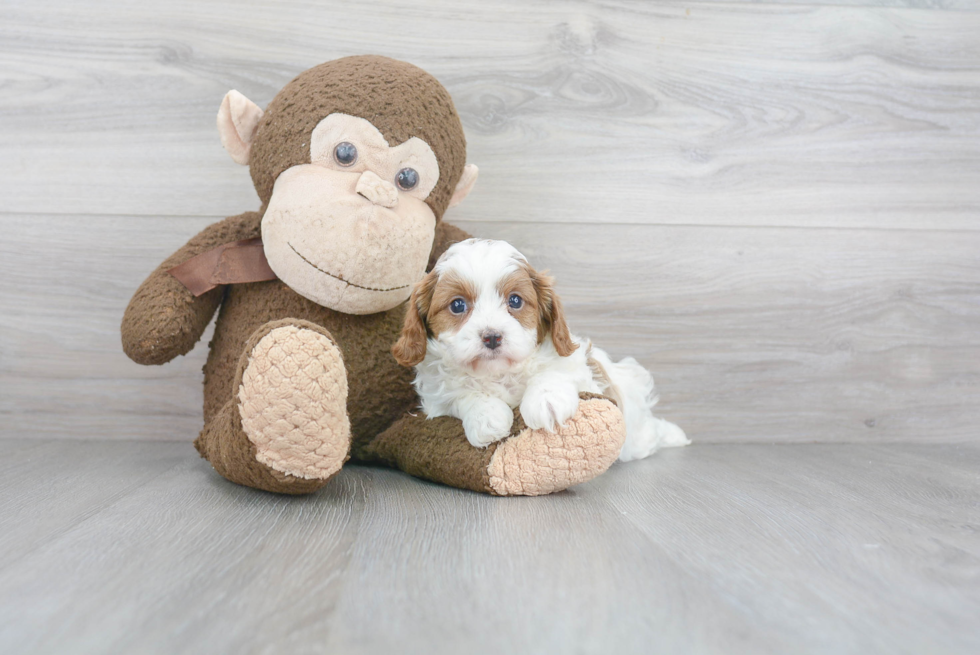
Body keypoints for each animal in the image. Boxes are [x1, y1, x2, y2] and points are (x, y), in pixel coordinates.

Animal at [392, 237, 688, 462]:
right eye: (457, 305)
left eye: (515, 301)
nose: (492, 337)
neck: (499, 373)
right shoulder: (436, 398)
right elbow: (460, 393)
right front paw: (486, 416)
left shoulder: (580, 368)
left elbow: (554, 370)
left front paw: (547, 402)